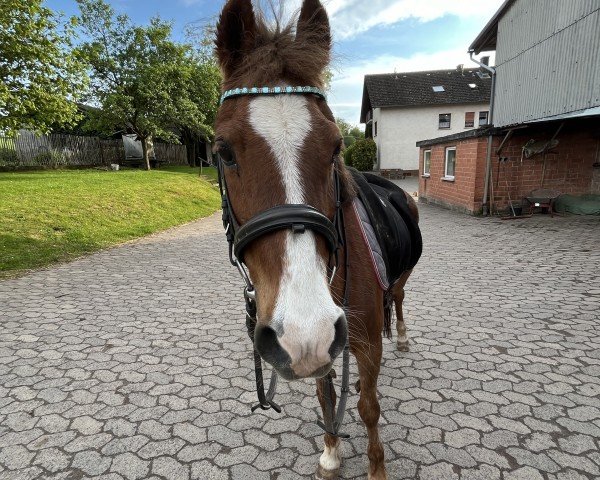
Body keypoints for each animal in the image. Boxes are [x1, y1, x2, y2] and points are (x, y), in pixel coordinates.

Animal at [213, 1, 420, 478]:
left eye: (336, 146)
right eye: (224, 150)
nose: (304, 331)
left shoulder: (359, 341)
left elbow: (368, 409)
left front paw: (376, 468)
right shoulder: (326, 344)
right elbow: (327, 395)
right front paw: (331, 450)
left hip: (400, 283)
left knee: (398, 299)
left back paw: (400, 337)